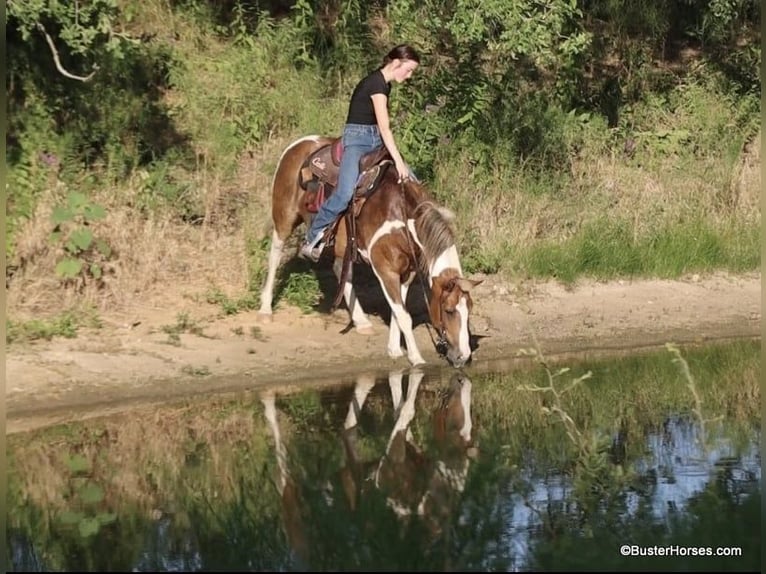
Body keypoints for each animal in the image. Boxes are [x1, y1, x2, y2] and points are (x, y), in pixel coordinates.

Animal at [257, 134, 483, 367]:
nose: (463, 356)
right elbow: (403, 315)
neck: (403, 218)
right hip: (284, 218)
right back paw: (265, 309)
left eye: (470, 308)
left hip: (343, 242)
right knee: (275, 254)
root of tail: (298, 143)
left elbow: (397, 311)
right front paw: (416, 358)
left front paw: (394, 349)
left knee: (340, 268)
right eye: (449, 310)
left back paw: (361, 321)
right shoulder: (385, 269)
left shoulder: (406, 272)